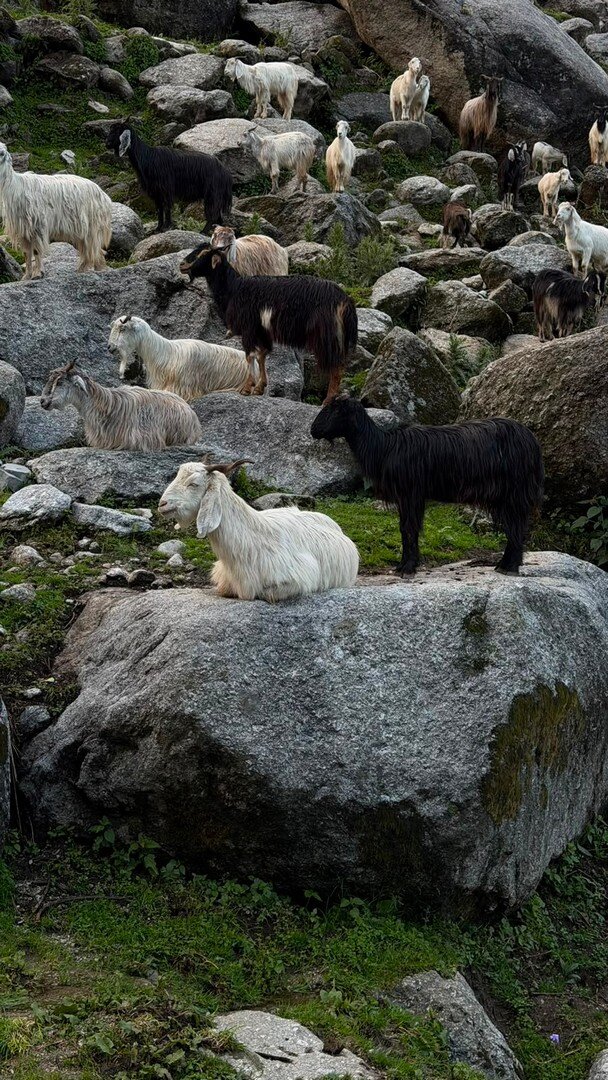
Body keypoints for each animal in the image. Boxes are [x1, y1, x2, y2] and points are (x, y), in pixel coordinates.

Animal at [0, 142, 111, 280]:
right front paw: (26, 277)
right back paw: (83, 270)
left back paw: (97, 270)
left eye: (1, 153)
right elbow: (26, 253)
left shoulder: (38, 226)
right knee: (91, 251)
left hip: (92, 226)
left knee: (95, 250)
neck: (15, 186)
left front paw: (37, 274)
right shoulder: (24, 230)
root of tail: (104, 196)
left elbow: (36, 251)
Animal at [180, 245, 357, 404]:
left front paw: (247, 388)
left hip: (327, 337)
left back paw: (328, 400)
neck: (234, 288)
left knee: (336, 366)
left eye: (203, 253)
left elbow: (250, 355)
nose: (182, 265)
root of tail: (345, 300)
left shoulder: (249, 329)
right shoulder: (261, 332)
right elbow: (261, 355)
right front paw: (260, 387)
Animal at [311, 395, 543, 576]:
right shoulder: (406, 496)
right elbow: (405, 528)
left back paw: (509, 567)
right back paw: (505, 564)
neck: (384, 447)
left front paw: (408, 568)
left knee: (516, 526)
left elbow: (409, 528)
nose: (313, 430)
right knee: (514, 526)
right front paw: (403, 566)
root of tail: (532, 441)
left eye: (334, 410)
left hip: (514, 491)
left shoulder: (411, 493)